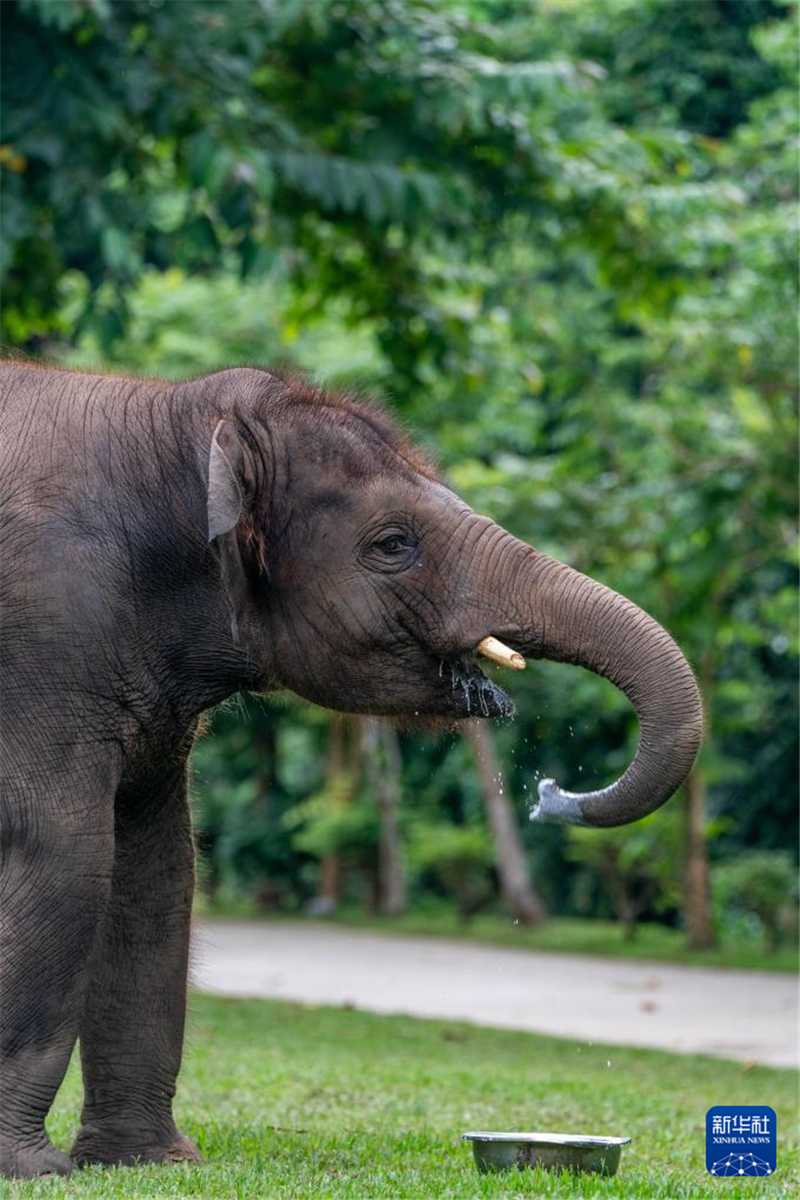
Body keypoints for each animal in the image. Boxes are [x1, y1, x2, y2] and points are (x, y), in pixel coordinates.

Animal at [0, 360, 700, 1176]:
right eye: (393, 544)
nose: (553, 792)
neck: (172, 416)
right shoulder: (42, 642)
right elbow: (67, 857)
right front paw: (34, 1172)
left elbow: (158, 871)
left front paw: (153, 1164)